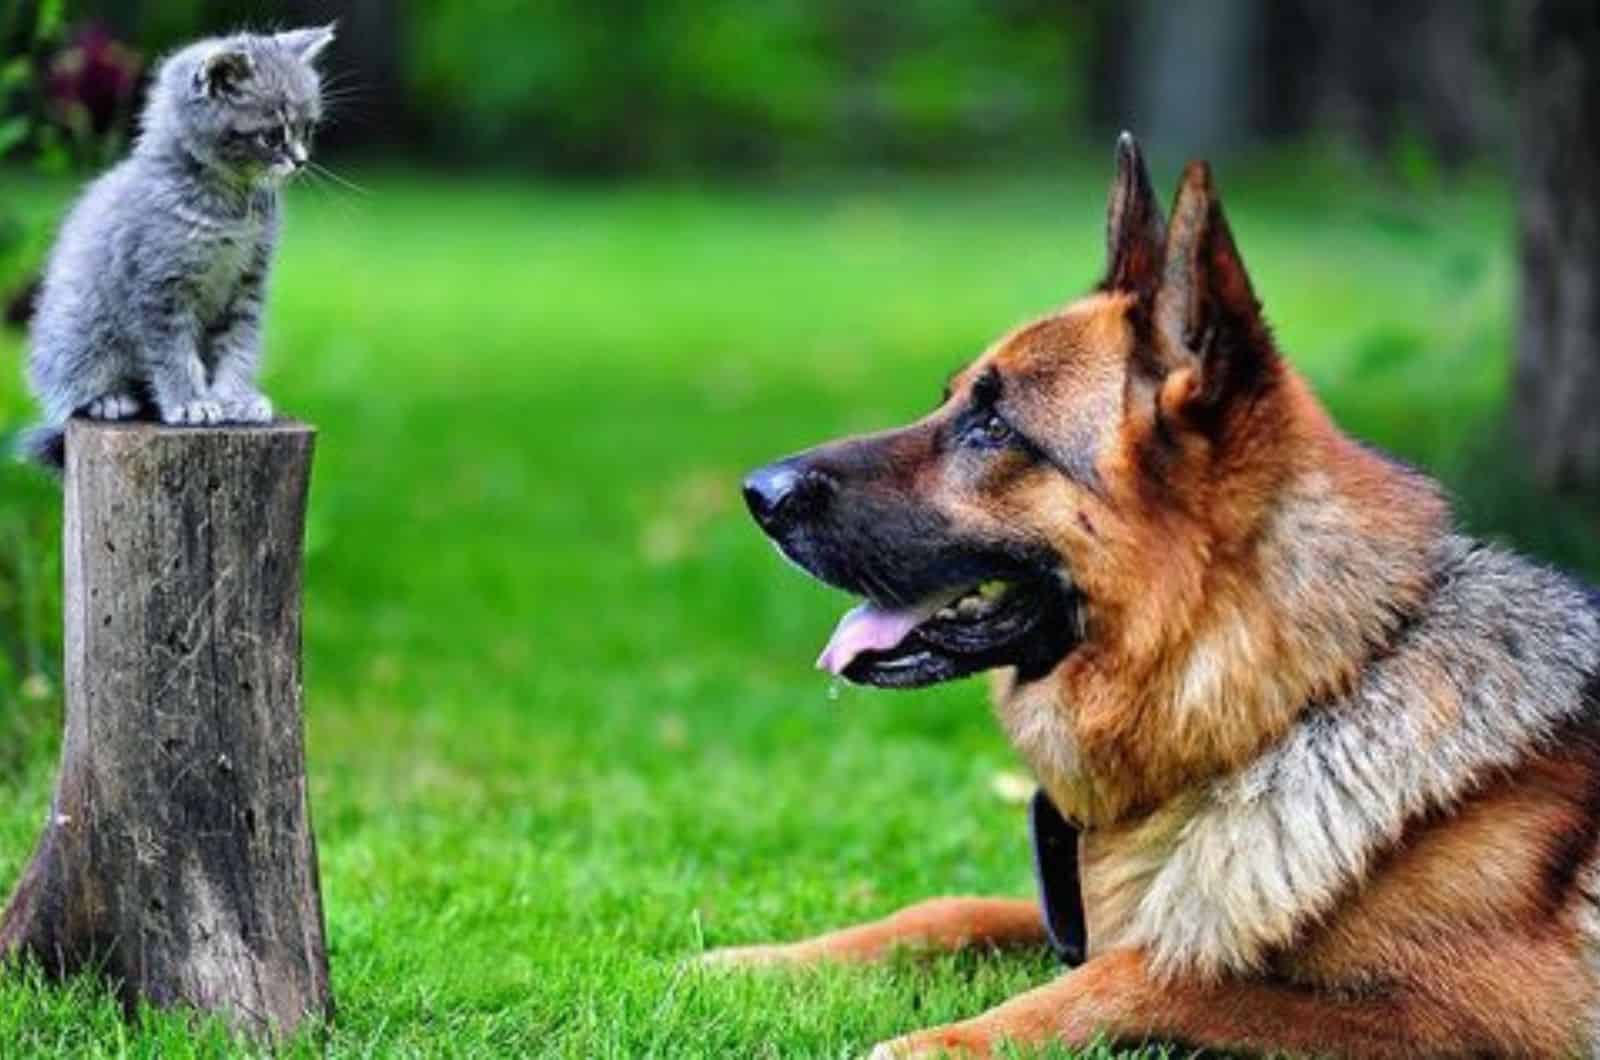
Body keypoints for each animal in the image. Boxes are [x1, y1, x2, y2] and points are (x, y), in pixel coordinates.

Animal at [19, 24, 331, 470]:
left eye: (307, 129)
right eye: (272, 136)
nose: (301, 161)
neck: (231, 205)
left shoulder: (248, 284)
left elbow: (239, 344)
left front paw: (235, 398)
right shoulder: (159, 286)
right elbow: (173, 353)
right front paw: (190, 403)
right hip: (77, 324)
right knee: (69, 383)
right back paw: (108, 399)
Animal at [710, 136, 1600, 1056]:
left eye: (994, 428)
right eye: (952, 401)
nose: (757, 492)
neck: (1300, 698)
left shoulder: (1483, 1021)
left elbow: (1154, 972)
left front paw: (933, 1042)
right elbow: (955, 908)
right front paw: (757, 961)